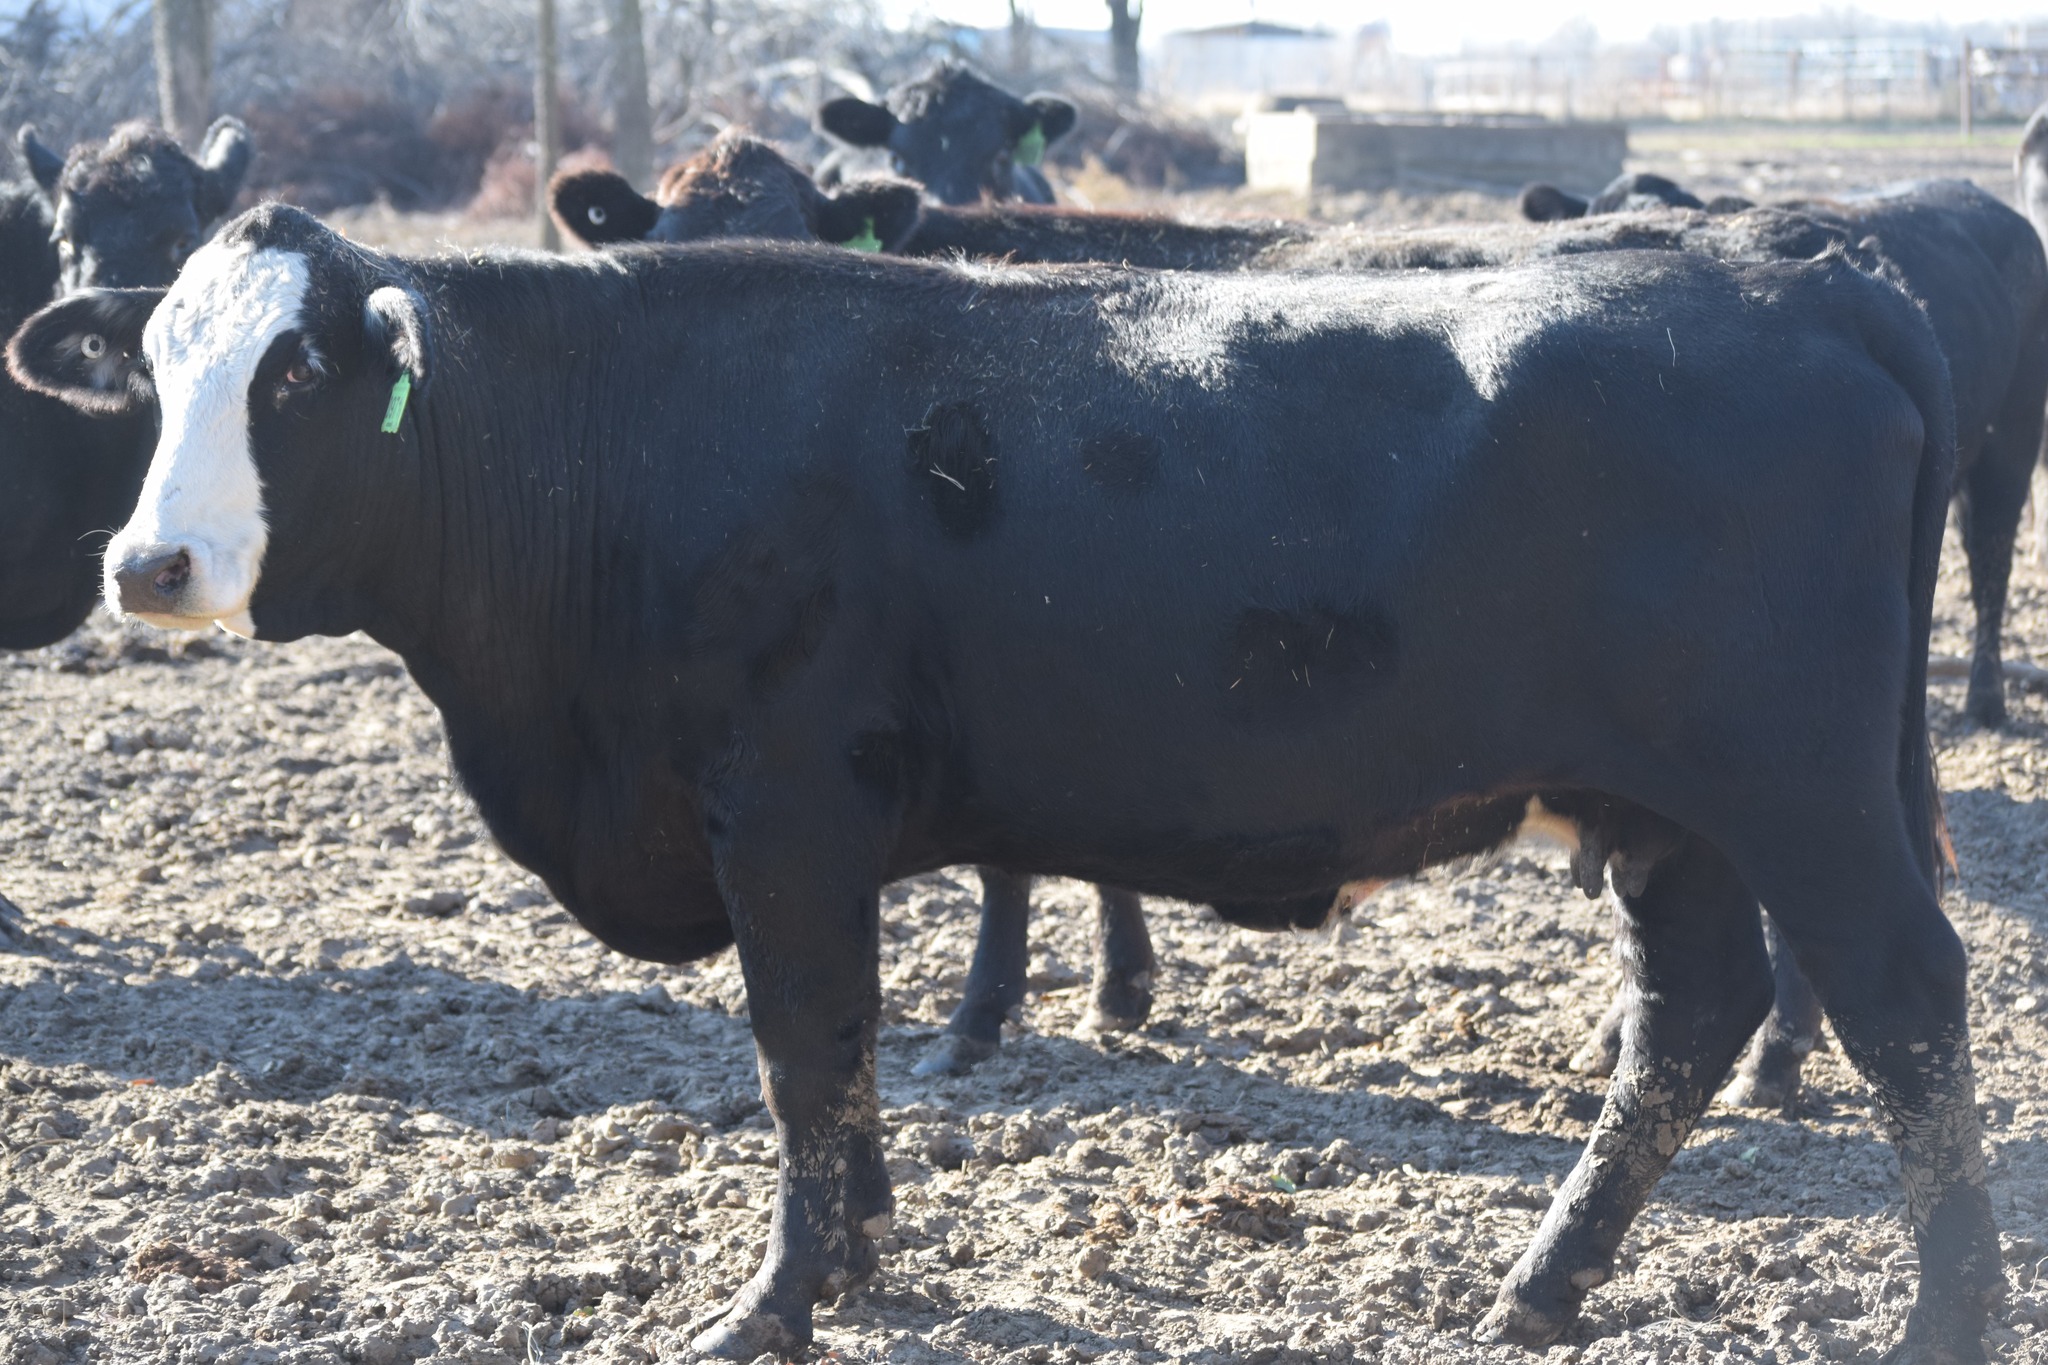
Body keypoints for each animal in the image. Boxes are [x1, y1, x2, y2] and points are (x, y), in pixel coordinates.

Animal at [11, 202, 1997, 1363]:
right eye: (158, 368)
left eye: (298, 373)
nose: (150, 568)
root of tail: (1793, 279)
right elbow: (841, 1067)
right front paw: (859, 1266)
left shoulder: (786, 812)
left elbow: (806, 1051)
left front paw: (773, 1309)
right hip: (1667, 810)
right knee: (1691, 1017)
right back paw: (1537, 1290)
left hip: (1801, 791)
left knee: (1899, 1005)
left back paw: (1945, 1323)